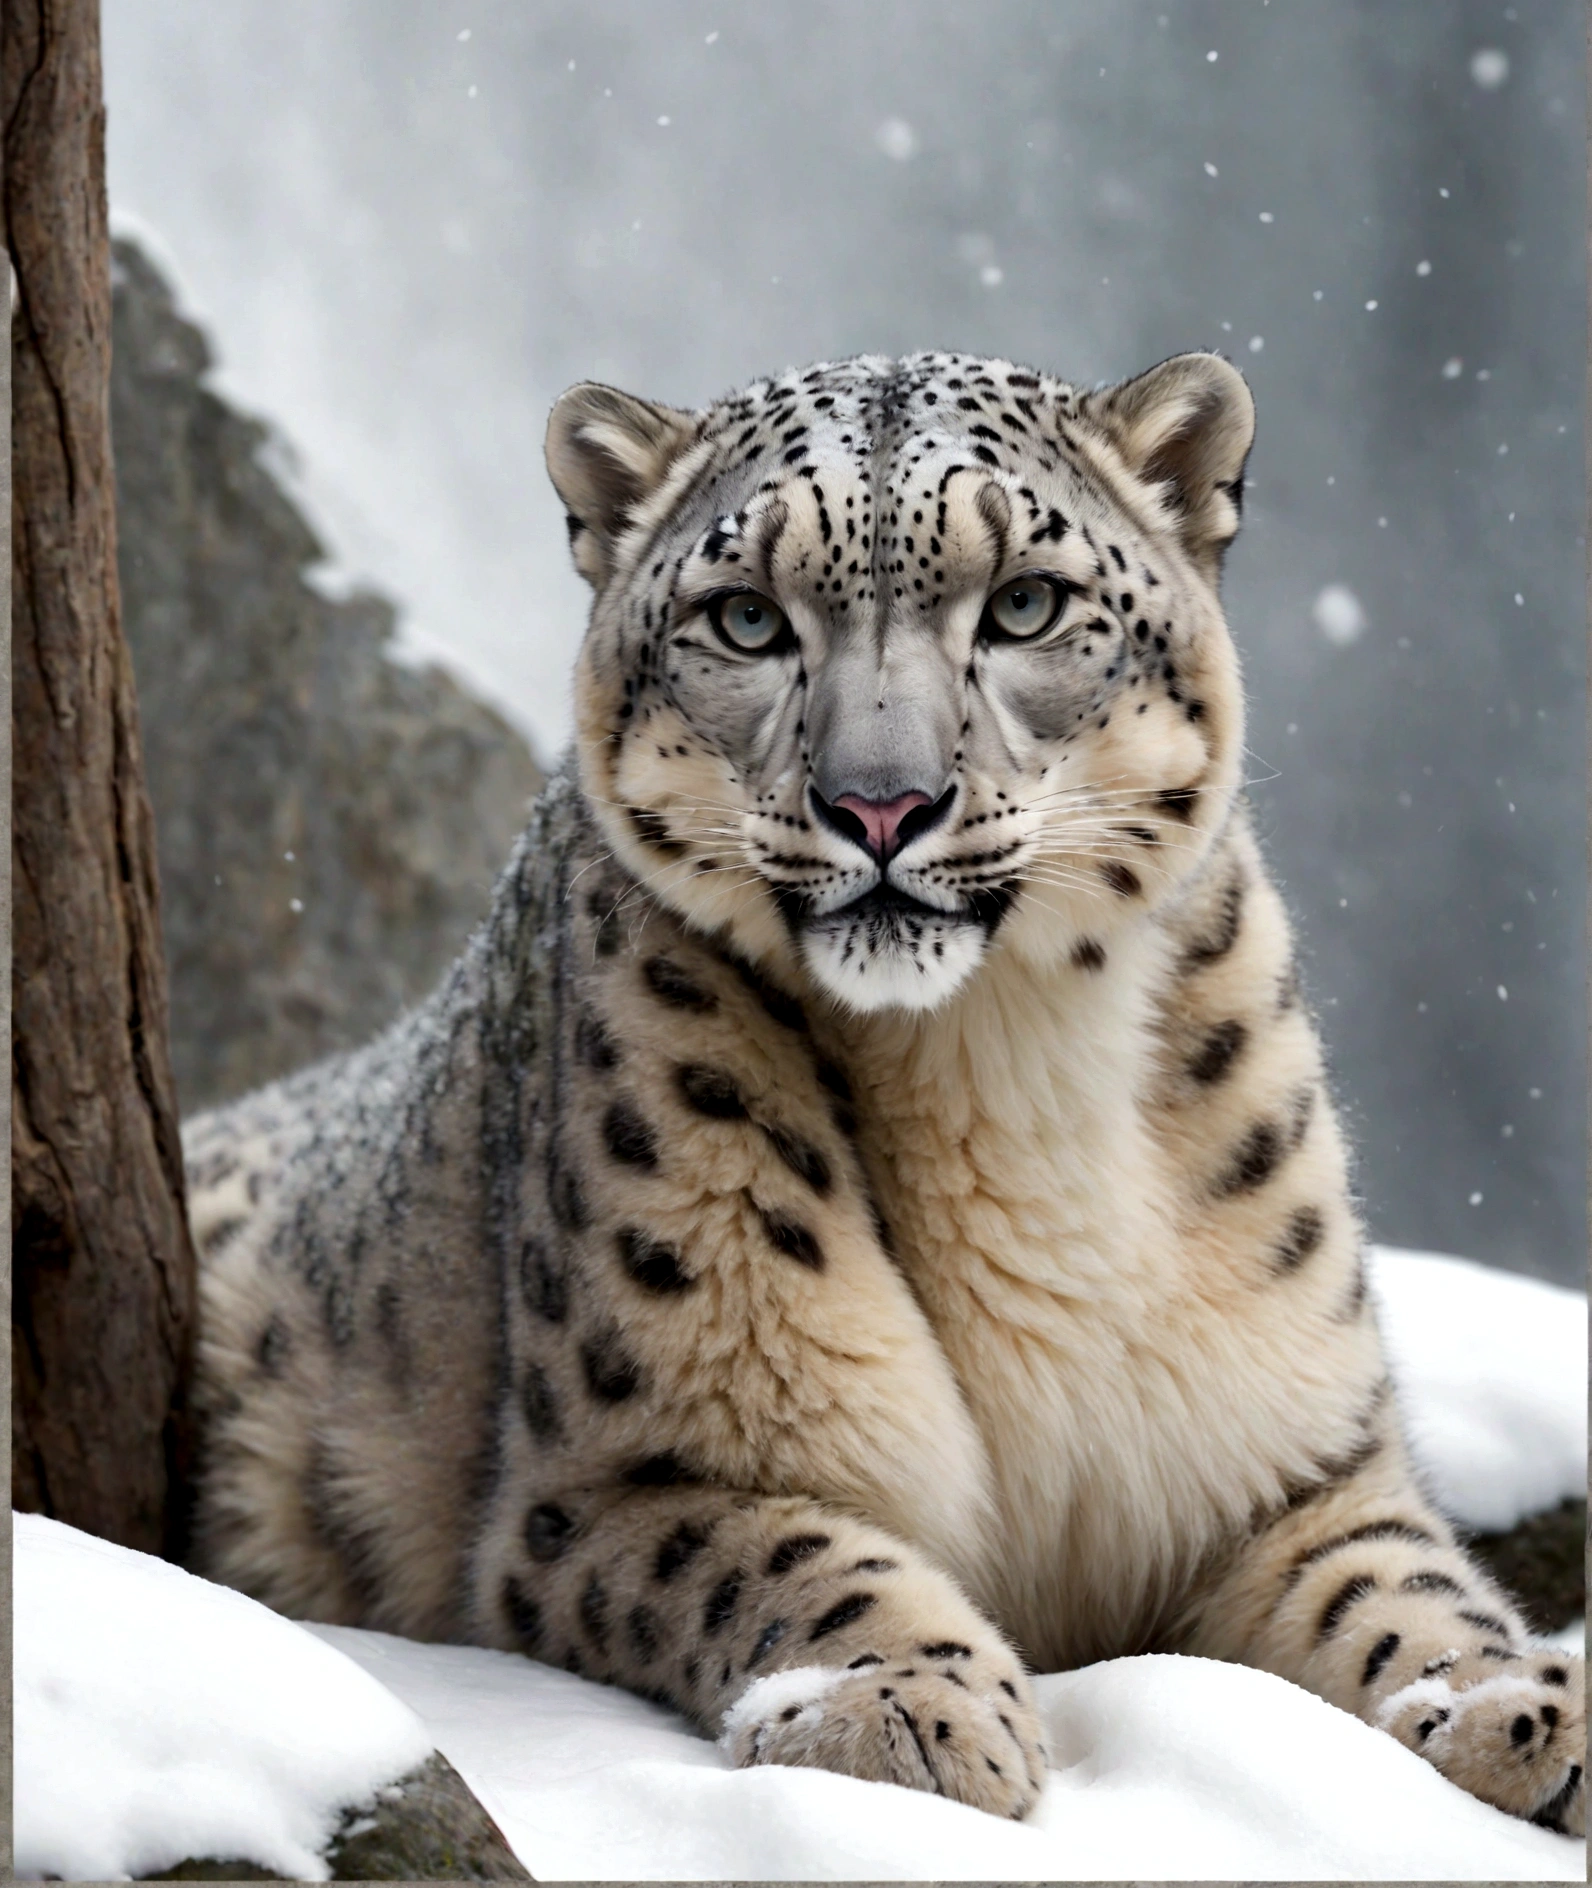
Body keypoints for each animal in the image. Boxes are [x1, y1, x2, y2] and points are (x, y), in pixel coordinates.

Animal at [184, 351, 1578, 1827]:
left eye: (1024, 601)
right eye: (745, 618)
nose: (880, 805)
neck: (1000, 1064)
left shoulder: (1290, 1459)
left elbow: (1401, 1587)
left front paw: (1522, 1708)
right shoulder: (630, 1477)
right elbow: (799, 1558)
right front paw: (896, 1711)